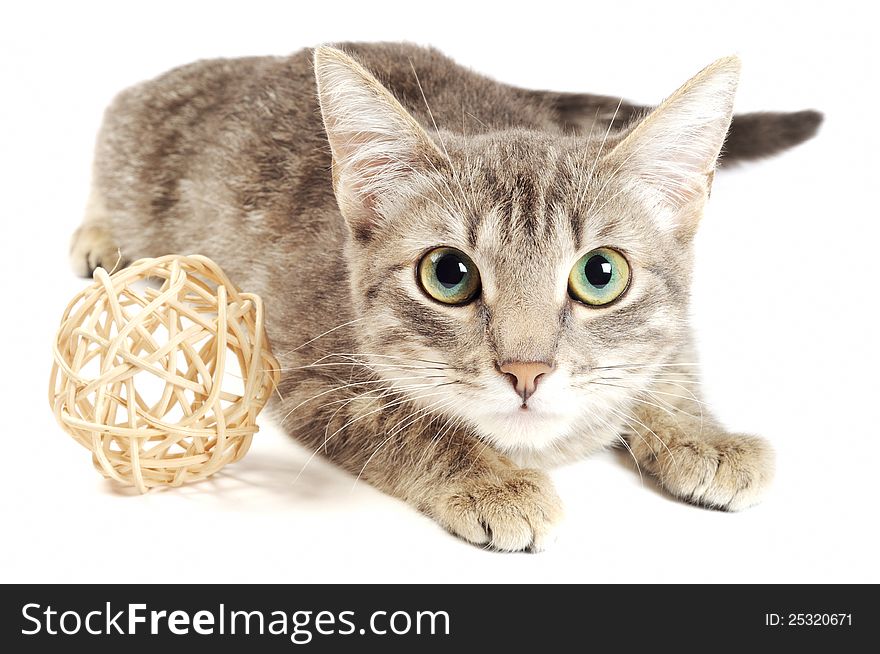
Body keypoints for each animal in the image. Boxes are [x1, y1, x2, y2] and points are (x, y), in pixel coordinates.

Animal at [72, 42, 820, 552]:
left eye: (601, 274)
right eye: (449, 275)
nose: (527, 370)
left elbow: (667, 360)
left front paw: (702, 433)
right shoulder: (312, 372)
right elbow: (412, 427)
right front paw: (491, 480)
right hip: (132, 145)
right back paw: (98, 236)